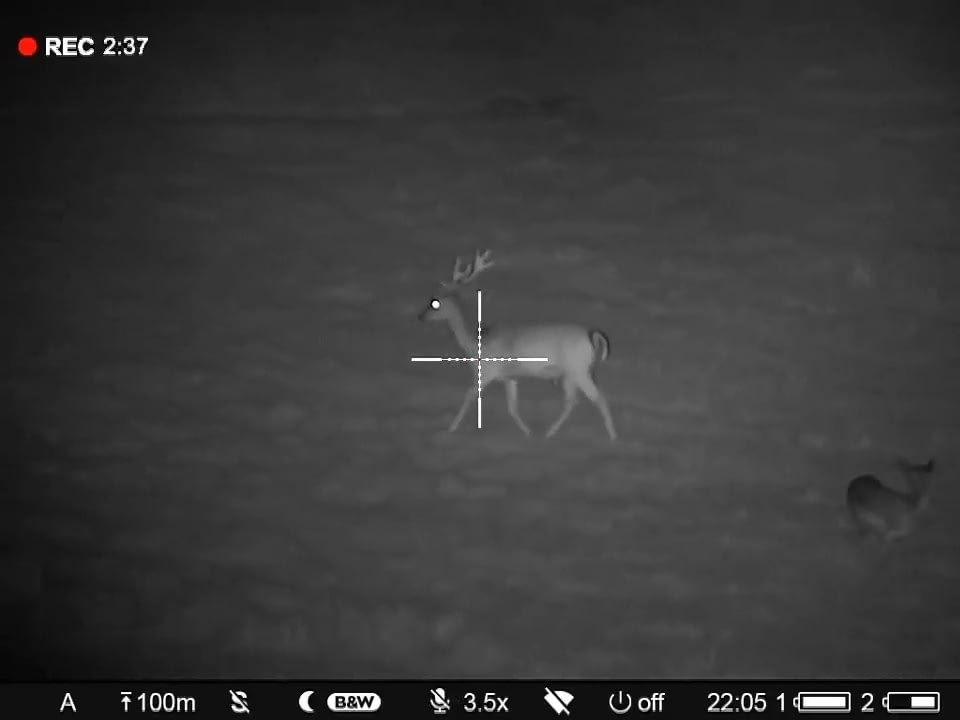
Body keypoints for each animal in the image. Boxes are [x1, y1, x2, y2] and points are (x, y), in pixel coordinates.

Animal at [417, 249, 618, 441]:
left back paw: (612, 437)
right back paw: (550, 433)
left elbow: (469, 396)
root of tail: (592, 334)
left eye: (435, 302)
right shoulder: (509, 377)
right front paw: (527, 432)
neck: (475, 344)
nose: (421, 317)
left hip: (578, 370)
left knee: (599, 399)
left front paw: (451, 428)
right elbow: (512, 407)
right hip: (570, 374)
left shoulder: (488, 372)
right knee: (572, 401)